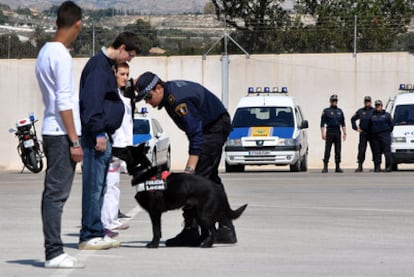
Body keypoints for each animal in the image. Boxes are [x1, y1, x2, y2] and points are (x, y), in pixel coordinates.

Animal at [111, 143, 246, 247]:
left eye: (125, 150)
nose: (112, 147)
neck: (143, 171)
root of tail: (217, 187)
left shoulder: (155, 212)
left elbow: (156, 230)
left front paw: (154, 244)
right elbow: (158, 231)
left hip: (203, 215)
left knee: (213, 232)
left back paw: (207, 245)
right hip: (197, 214)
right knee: (206, 232)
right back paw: (197, 243)